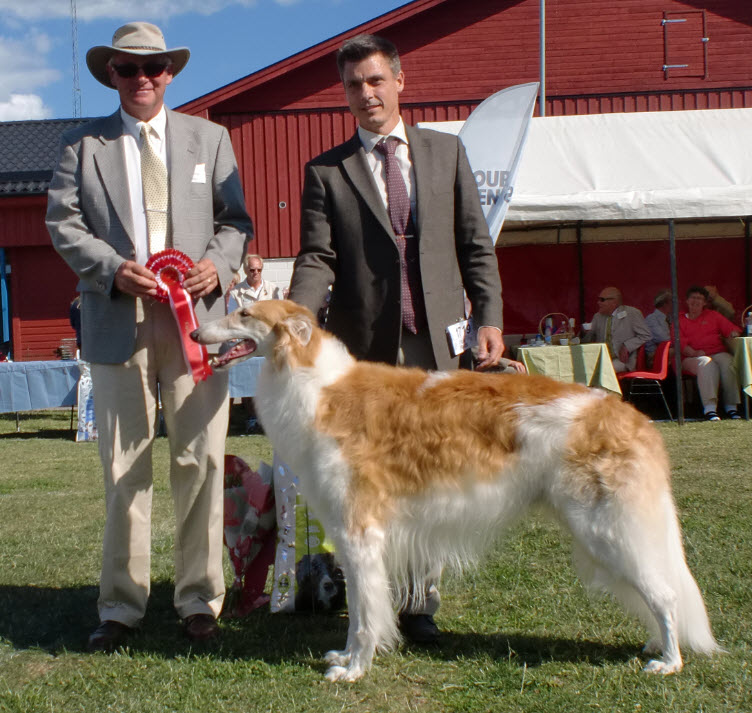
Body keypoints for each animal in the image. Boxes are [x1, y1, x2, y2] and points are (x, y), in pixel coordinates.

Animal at [191, 298, 720, 680]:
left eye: (244, 314)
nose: (196, 334)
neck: (318, 386)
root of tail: (634, 418)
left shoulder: (360, 532)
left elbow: (364, 615)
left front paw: (355, 668)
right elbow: (363, 613)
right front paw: (346, 658)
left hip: (608, 529)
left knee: (665, 594)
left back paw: (668, 661)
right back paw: (657, 644)